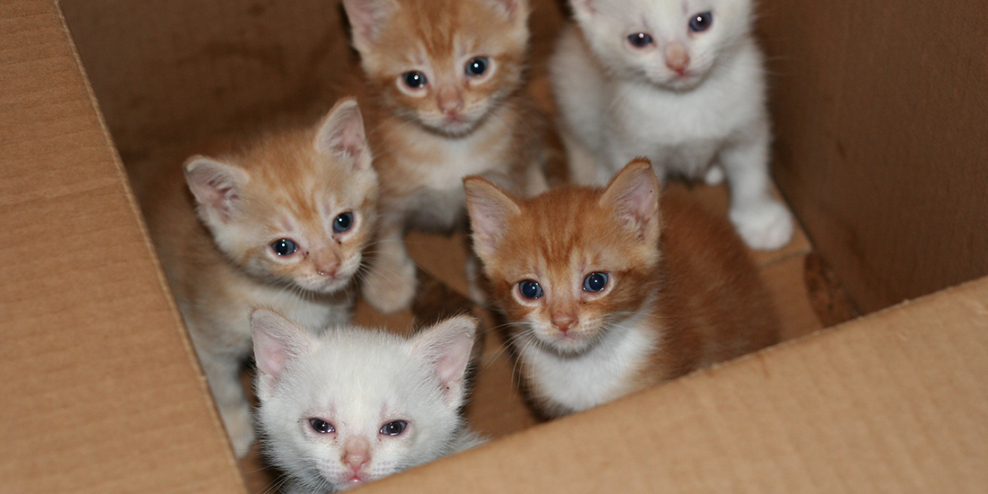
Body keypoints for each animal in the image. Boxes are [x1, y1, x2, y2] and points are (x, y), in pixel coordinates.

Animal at [141, 98, 380, 458]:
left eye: (343, 221)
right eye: (283, 247)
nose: (330, 267)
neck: (291, 299)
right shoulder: (202, 337)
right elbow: (222, 385)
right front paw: (234, 429)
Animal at [342, 0, 548, 314]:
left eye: (478, 66)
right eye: (413, 79)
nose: (451, 107)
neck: (451, 148)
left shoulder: (501, 171)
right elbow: (384, 232)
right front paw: (389, 281)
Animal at [548, 0, 796, 249]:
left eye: (701, 21)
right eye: (639, 39)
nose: (678, 62)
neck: (688, 100)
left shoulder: (747, 123)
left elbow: (751, 172)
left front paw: (760, 220)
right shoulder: (630, 139)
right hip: (575, 102)